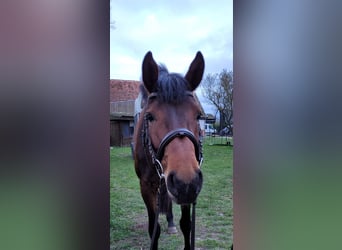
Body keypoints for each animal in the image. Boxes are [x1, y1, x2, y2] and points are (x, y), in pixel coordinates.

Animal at [133, 51, 203, 250]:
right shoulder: (146, 187)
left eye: (198, 115)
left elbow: (186, 225)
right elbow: (153, 230)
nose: (185, 183)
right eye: (149, 116)